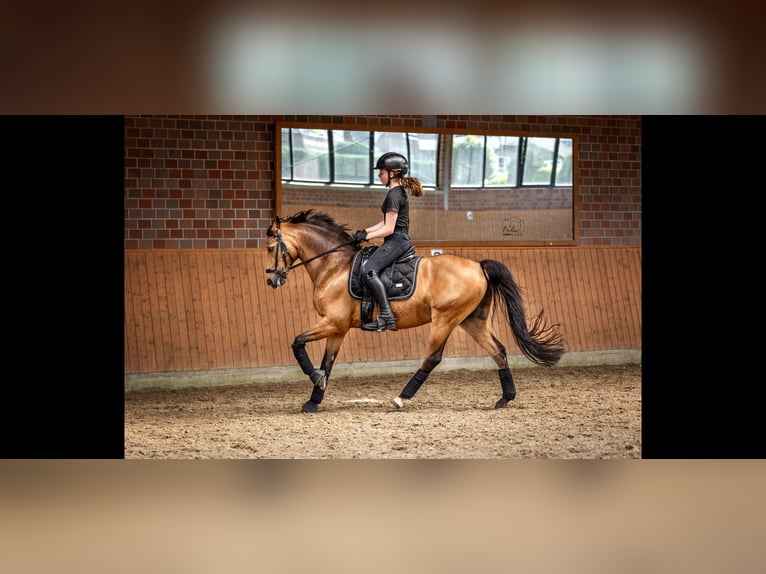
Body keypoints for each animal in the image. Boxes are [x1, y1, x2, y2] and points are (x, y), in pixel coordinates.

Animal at [268, 210, 568, 414]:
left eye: (271, 248)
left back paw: (401, 398)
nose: (272, 280)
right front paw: (313, 399)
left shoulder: (332, 322)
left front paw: (314, 382)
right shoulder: (337, 328)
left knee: (432, 358)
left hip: (445, 319)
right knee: (499, 351)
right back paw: (506, 398)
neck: (334, 266)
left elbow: (297, 343)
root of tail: (479, 266)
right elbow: (327, 364)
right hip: (472, 320)